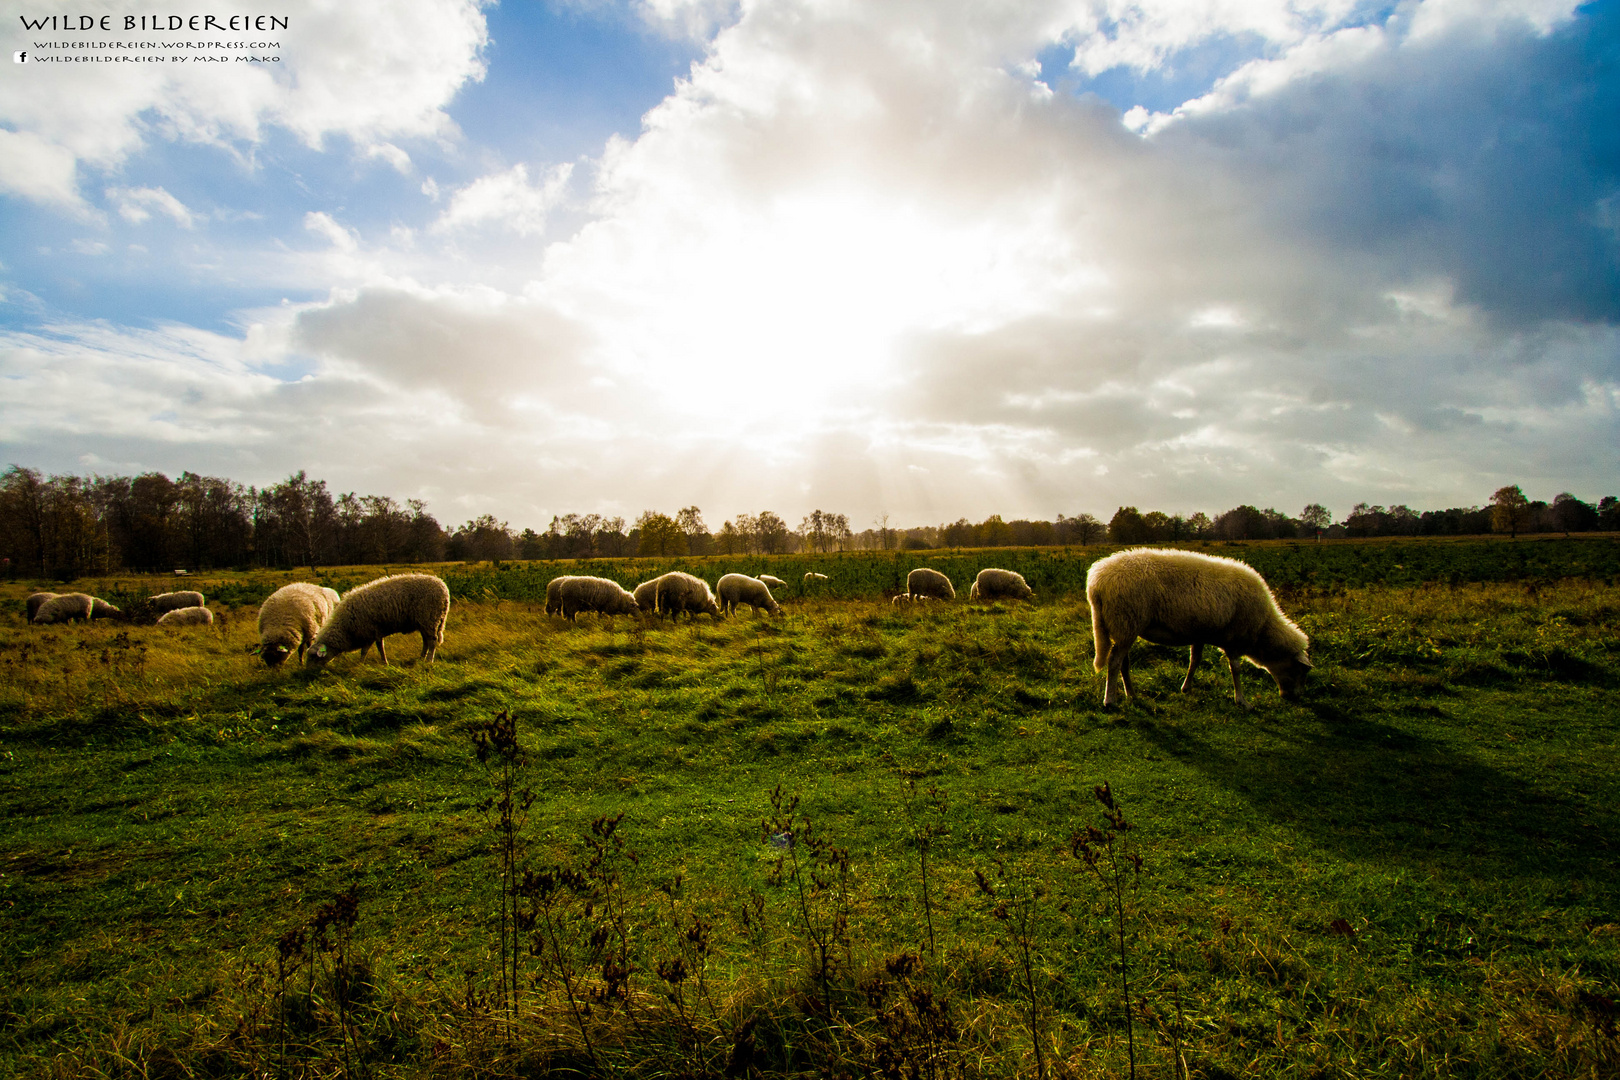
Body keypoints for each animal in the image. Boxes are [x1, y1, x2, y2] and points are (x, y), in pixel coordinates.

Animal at [304, 573, 450, 667]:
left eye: (313, 657)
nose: (307, 673)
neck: (345, 628)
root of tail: (443, 586)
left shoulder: (369, 632)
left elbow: (365, 650)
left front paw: (361, 664)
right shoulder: (376, 632)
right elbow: (380, 648)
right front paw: (384, 662)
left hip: (430, 618)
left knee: (432, 642)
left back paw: (429, 661)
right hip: (424, 622)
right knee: (426, 641)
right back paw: (421, 658)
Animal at [1082, 550, 1308, 709]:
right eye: (1299, 670)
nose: (1295, 698)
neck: (1263, 630)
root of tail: (1097, 581)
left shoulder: (1200, 633)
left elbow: (1195, 661)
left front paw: (1186, 687)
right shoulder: (1234, 638)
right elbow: (1235, 669)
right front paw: (1242, 700)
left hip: (1126, 626)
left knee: (1123, 662)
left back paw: (1131, 693)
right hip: (1126, 620)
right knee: (1114, 662)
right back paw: (1110, 700)